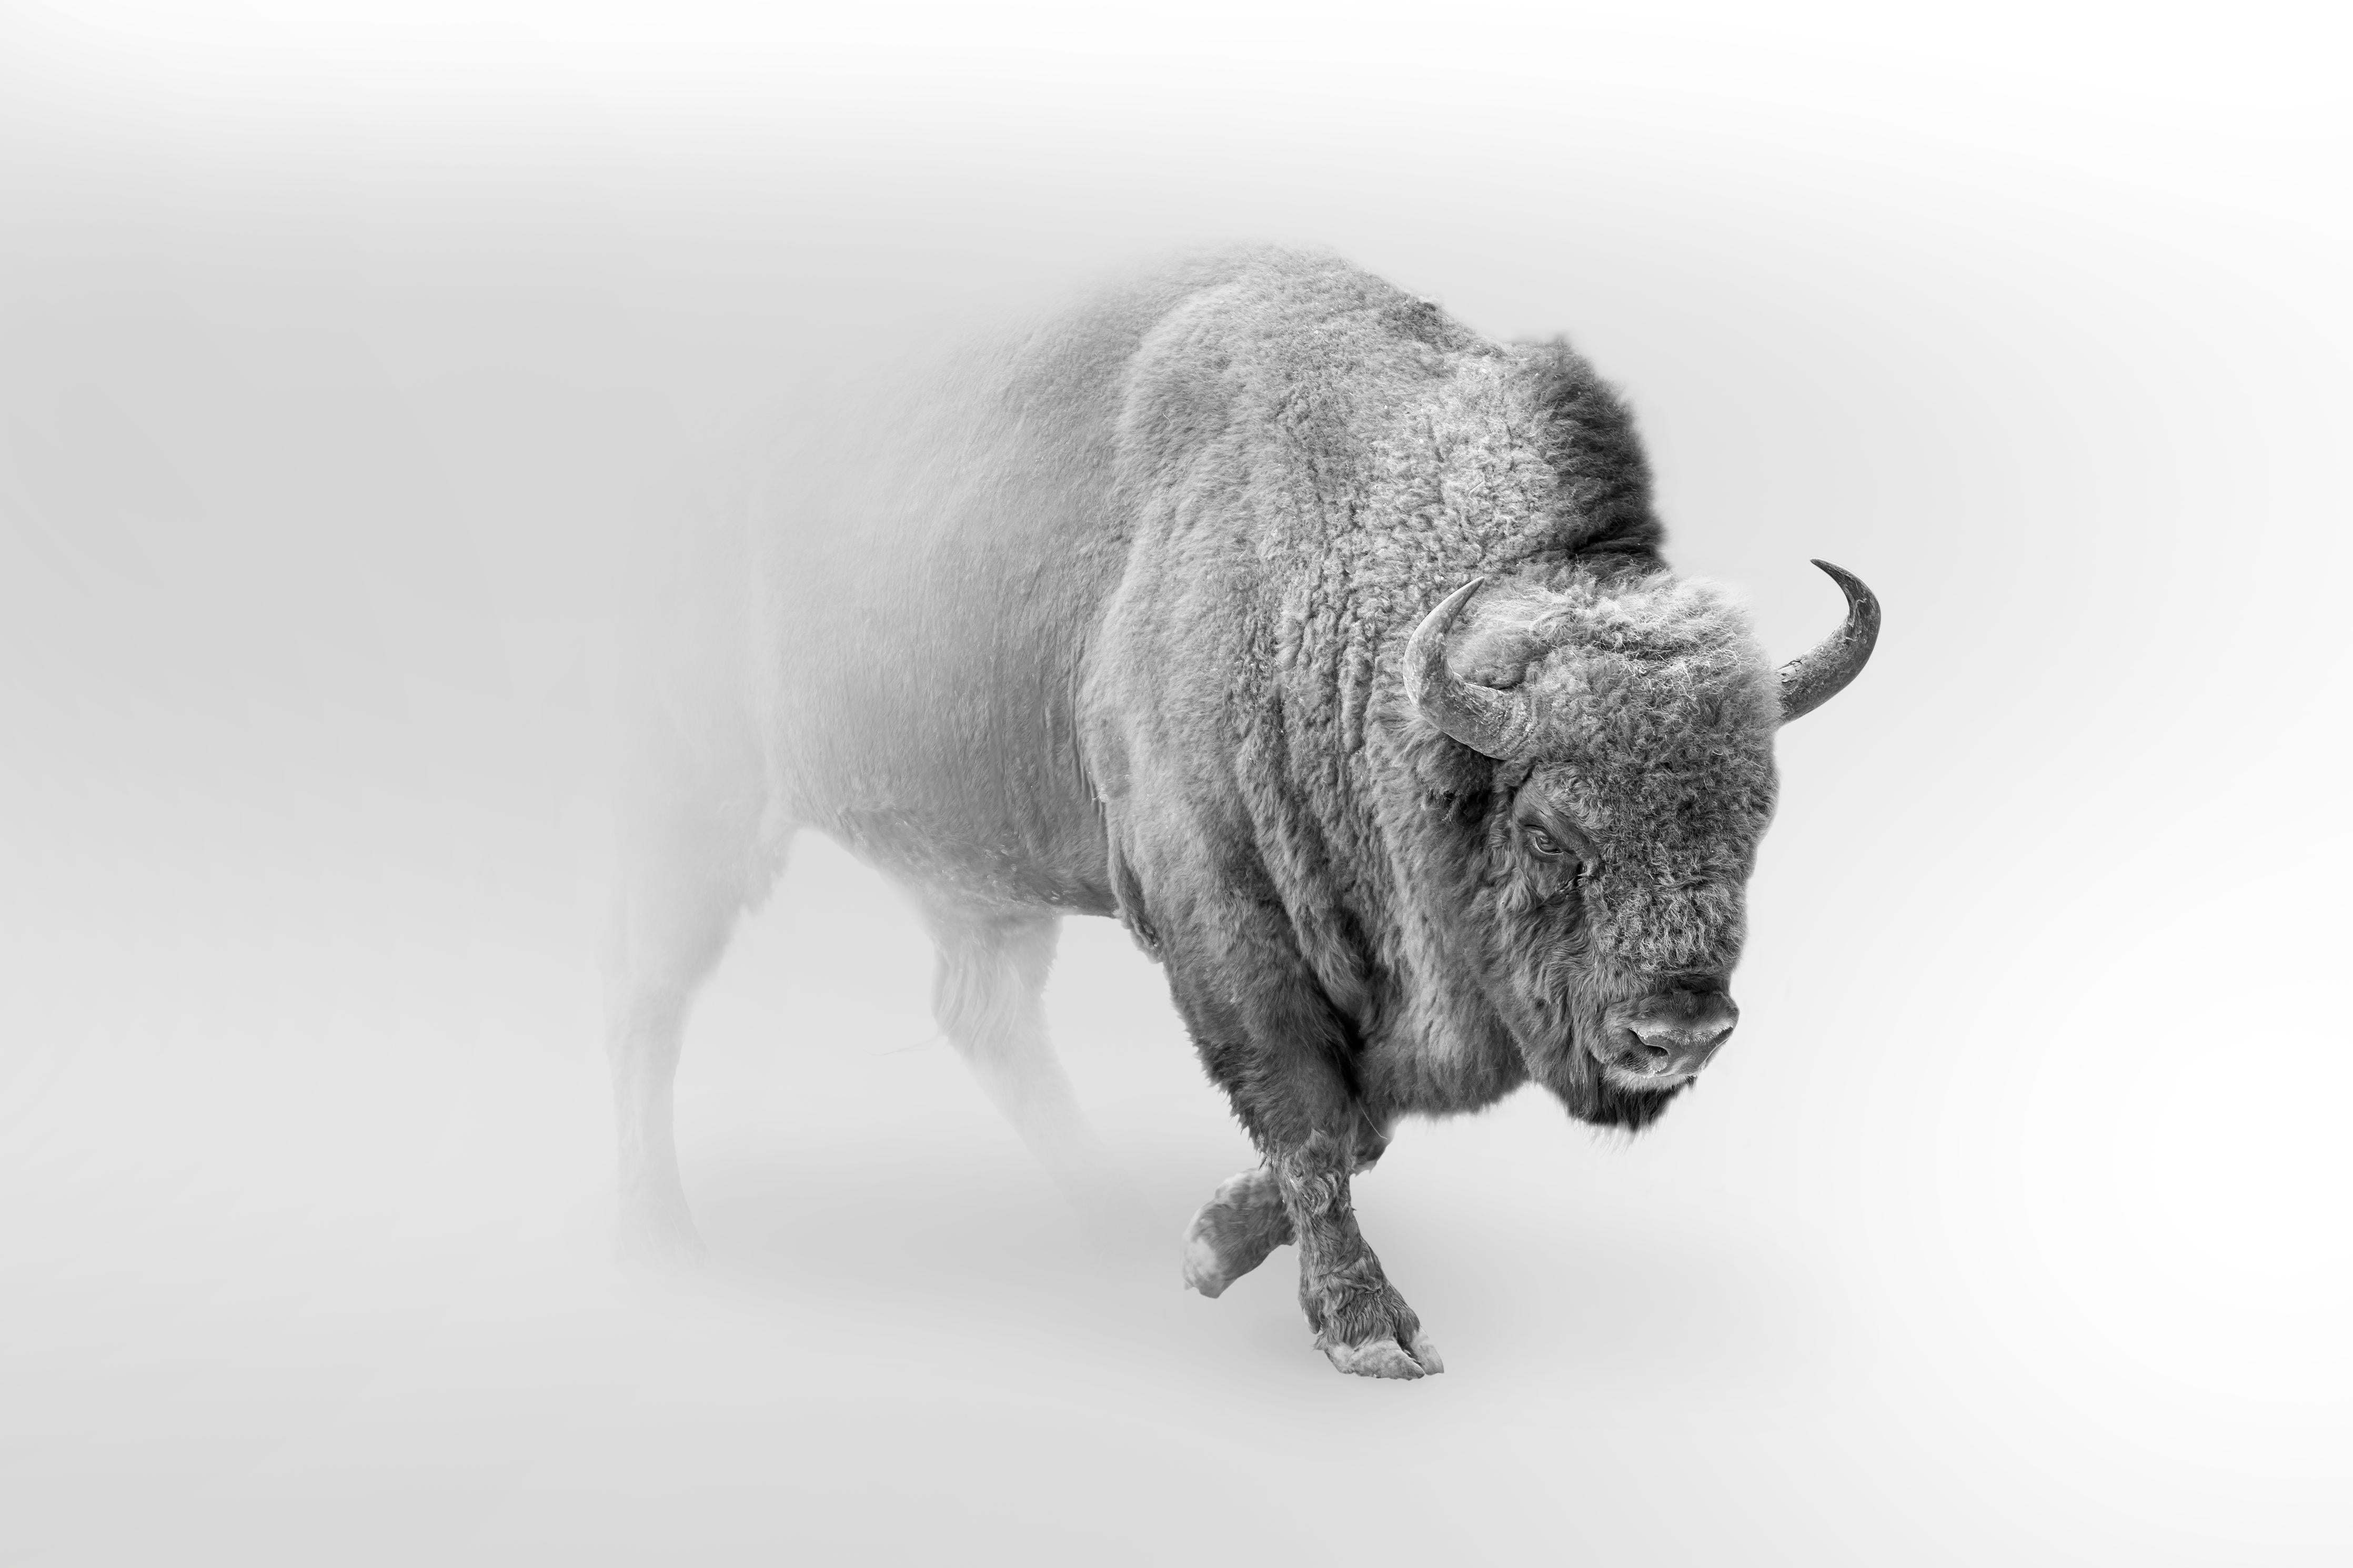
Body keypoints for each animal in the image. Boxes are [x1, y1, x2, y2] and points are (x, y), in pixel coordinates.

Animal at [605, 248, 1878, 1379]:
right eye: (1546, 831)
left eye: (1753, 819)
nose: (1680, 1029)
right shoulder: (1218, 912)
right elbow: (1313, 1113)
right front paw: (1367, 1328)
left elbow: (1360, 1118)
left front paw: (1207, 1245)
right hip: (699, 803)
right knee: (649, 998)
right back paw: (661, 1240)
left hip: (973, 878)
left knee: (980, 1016)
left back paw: (1109, 1218)